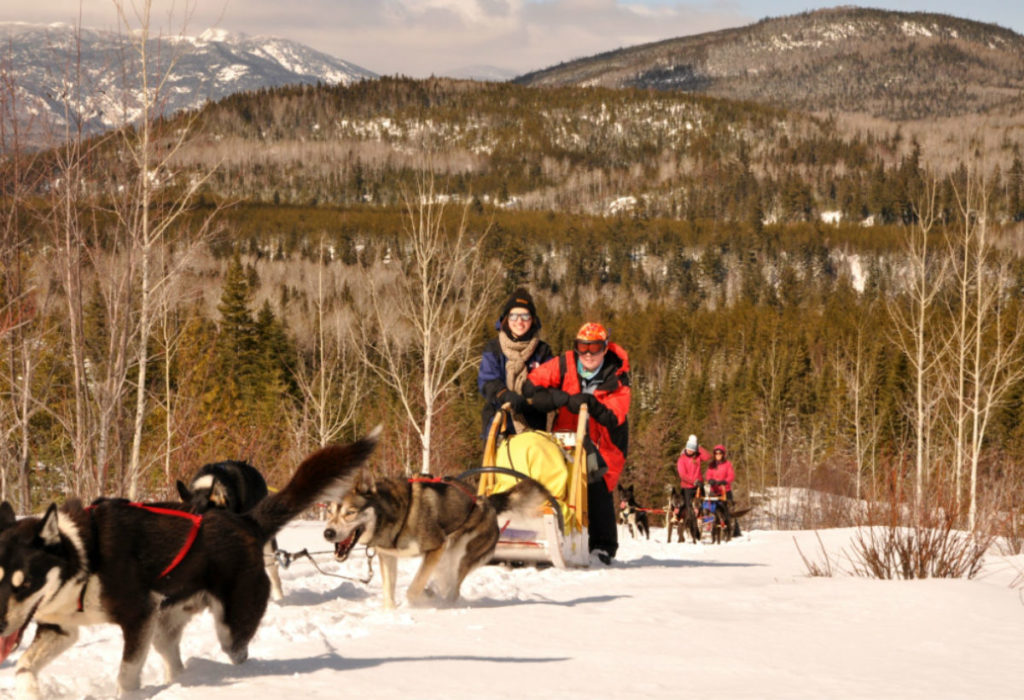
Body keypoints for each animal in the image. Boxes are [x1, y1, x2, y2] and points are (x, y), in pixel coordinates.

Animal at [325, 472, 552, 609]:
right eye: (329, 511)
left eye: (350, 513)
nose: (327, 533)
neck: (395, 513)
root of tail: (486, 501)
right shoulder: (388, 556)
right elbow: (389, 592)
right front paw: (390, 613)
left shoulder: (435, 547)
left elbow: (413, 589)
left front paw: (423, 598)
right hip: (445, 561)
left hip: (458, 558)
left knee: (453, 589)